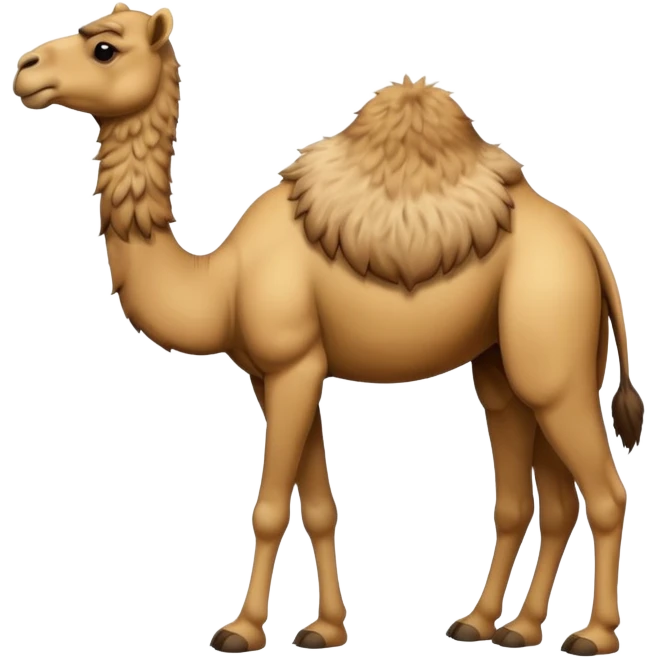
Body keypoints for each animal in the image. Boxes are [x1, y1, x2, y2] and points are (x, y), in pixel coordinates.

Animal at [12, 4, 646, 655]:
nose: (25, 70)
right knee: (538, 493)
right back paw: (499, 625)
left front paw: (240, 630)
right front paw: (325, 628)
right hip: (509, 361)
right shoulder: (278, 373)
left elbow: (269, 508)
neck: (222, 280)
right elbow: (317, 506)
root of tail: (588, 243)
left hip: (553, 349)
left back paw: (592, 634)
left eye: (104, 49)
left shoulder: (293, 363)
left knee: (604, 493)